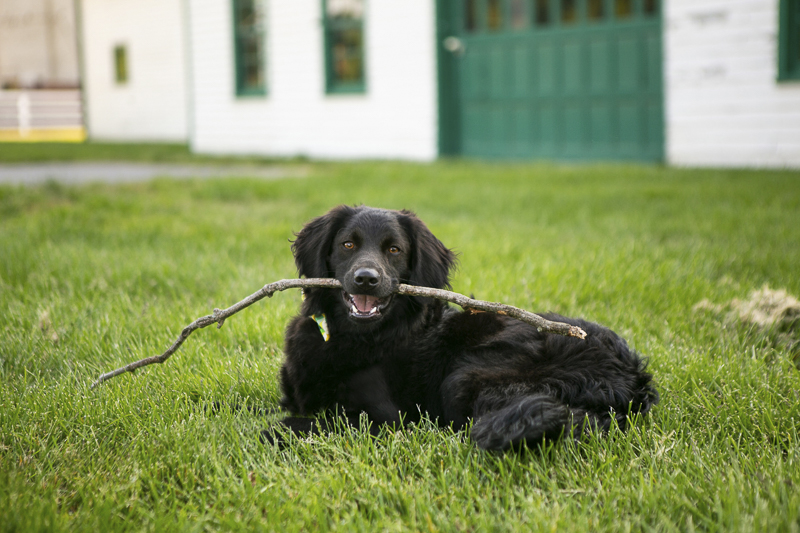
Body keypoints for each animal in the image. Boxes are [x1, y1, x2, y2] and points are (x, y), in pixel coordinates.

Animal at [262, 204, 656, 448]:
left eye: (394, 250)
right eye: (347, 244)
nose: (366, 279)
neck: (353, 337)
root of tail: (634, 376)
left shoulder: (385, 418)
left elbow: (303, 423)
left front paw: (270, 431)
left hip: (466, 377)